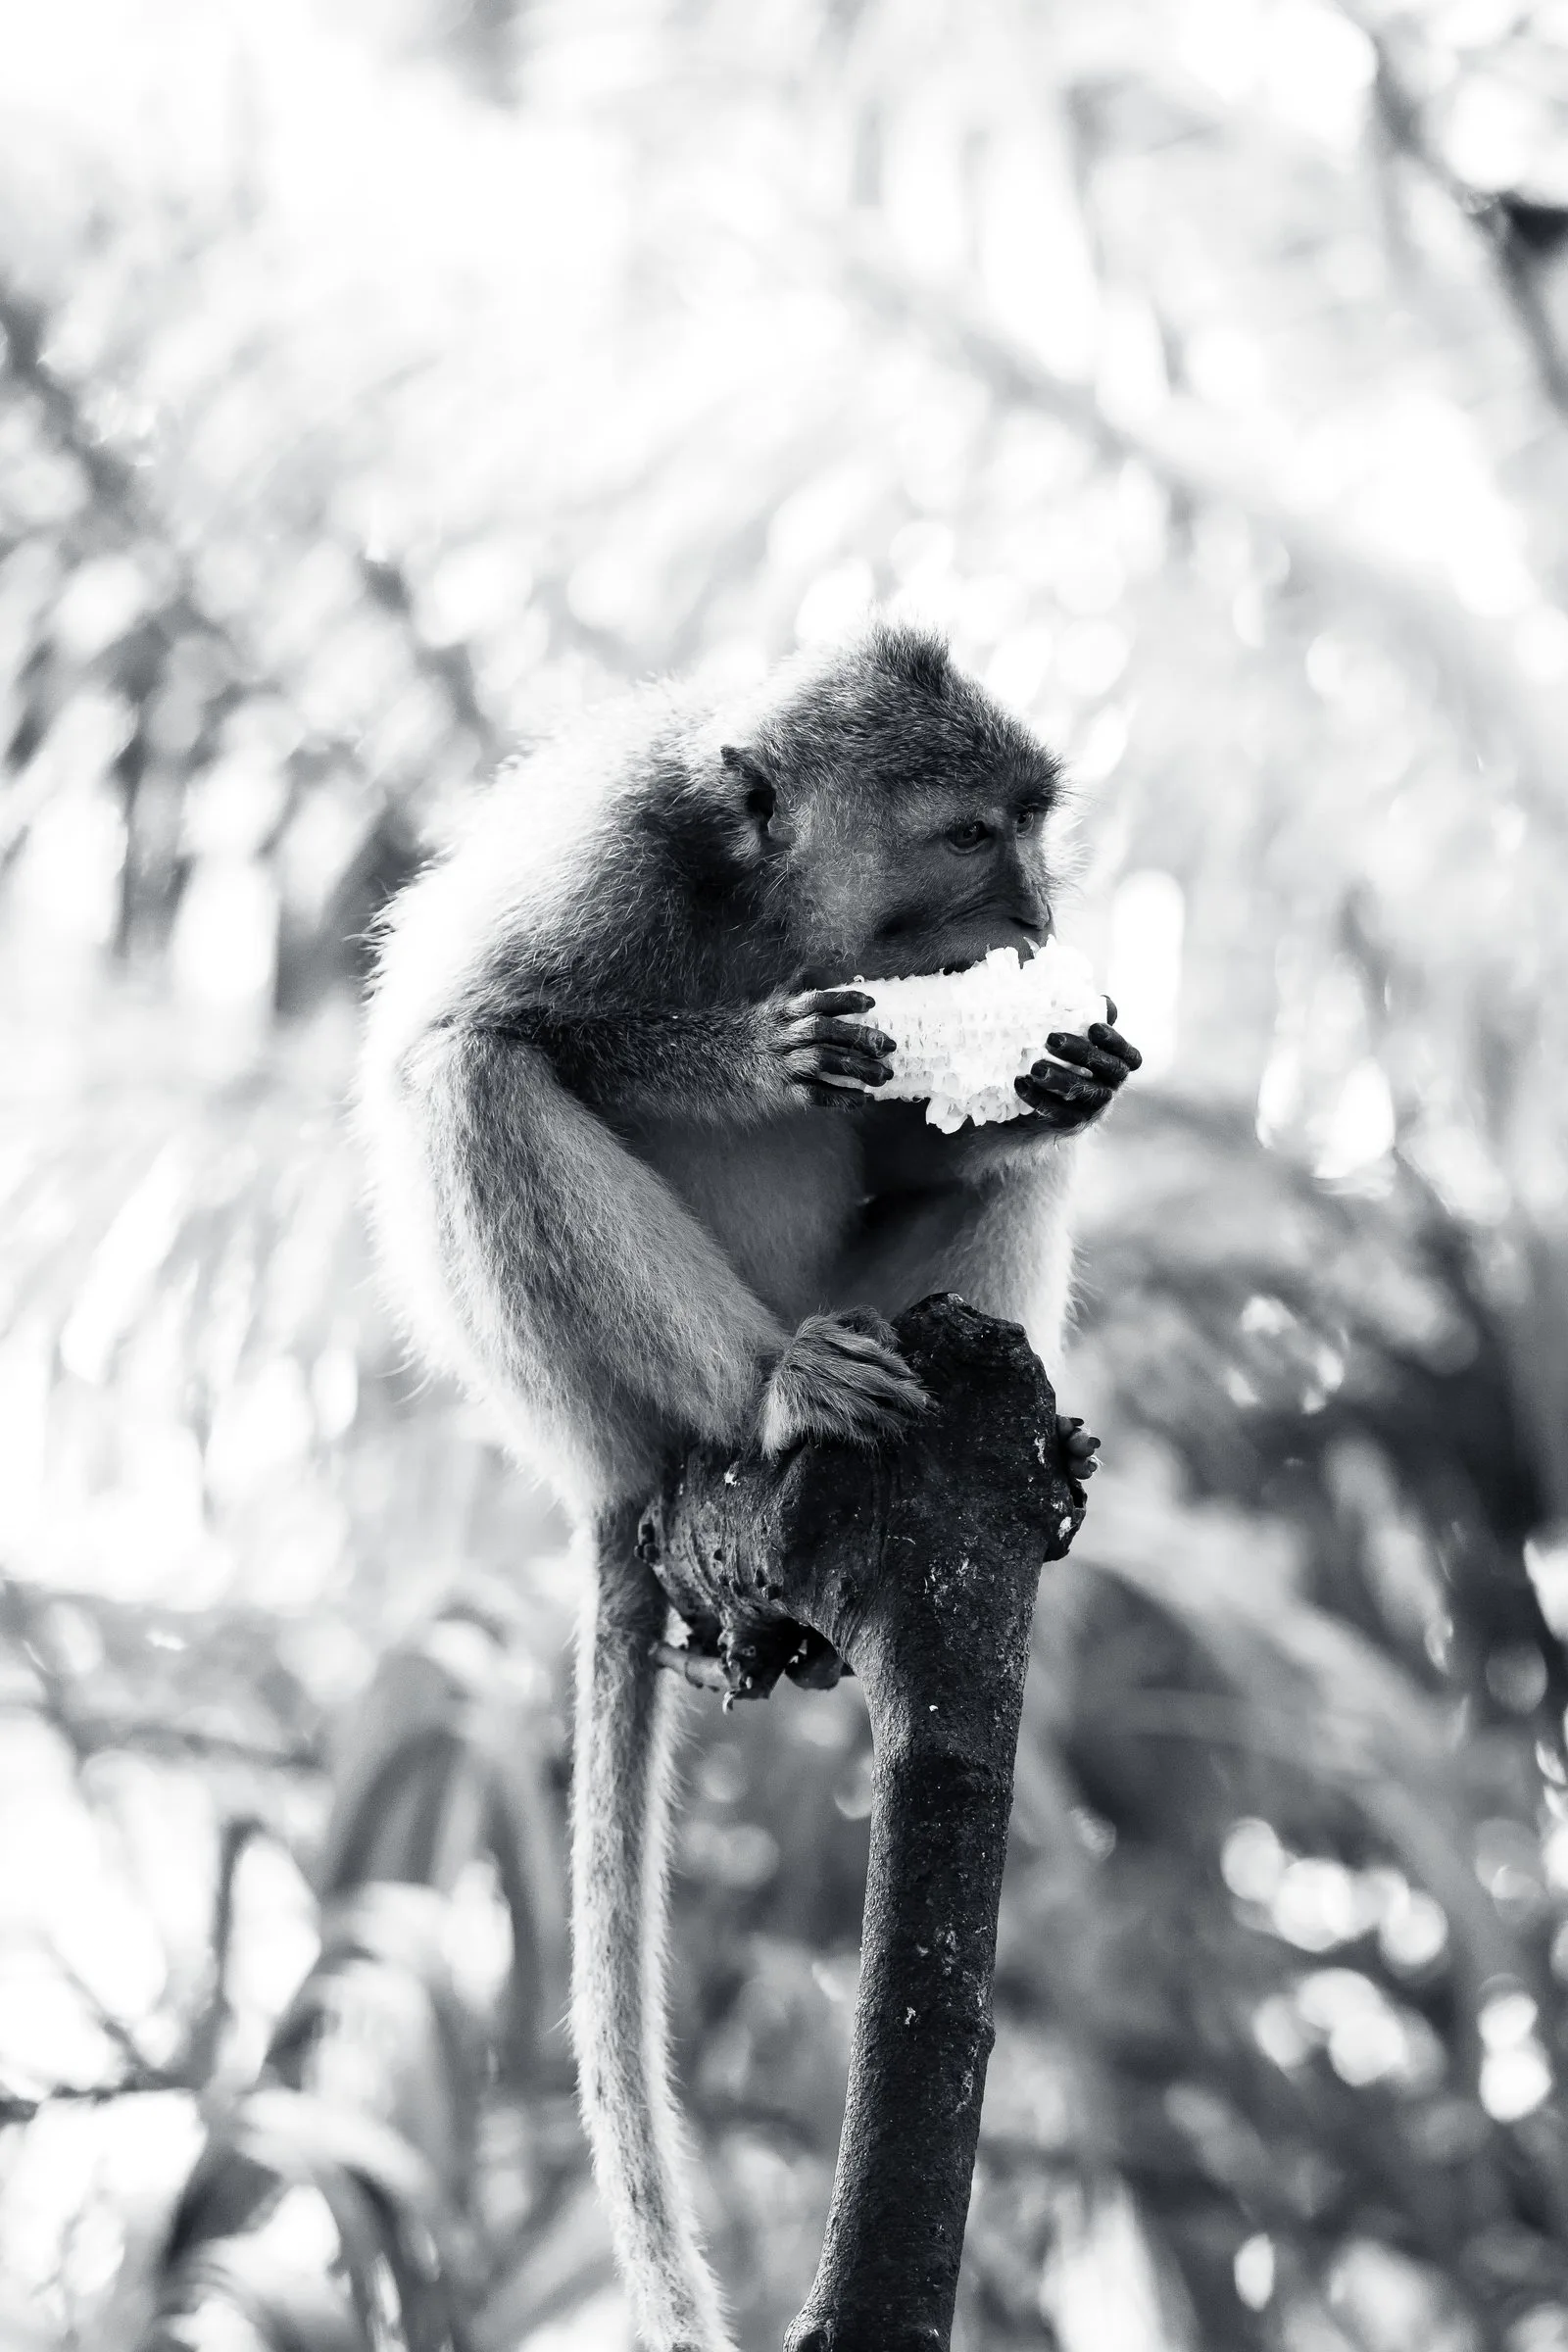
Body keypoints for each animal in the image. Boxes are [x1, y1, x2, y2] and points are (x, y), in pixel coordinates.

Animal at [357, 620, 1140, 2352]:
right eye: (972, 834)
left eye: (1031, 825)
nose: (1043, 919)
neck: (776, 909)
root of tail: (602, 1473)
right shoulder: (611, 861)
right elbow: (489, 1018)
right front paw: (756, 1058)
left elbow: (962, 1129)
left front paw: (1070, 1069)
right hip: (592, 1393)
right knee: (473, 1083)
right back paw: (769, 1395)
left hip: (897, 1316)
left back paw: (1029, 1441)